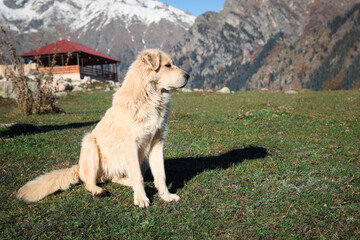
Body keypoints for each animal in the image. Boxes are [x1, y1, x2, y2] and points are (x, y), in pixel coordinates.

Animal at [16, 49, 190, 208]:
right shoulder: (131, 146)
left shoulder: (157, 143)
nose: (188, 76)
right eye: (168, 65)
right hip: (90, 144)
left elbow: (161, 174)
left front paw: (166, 196)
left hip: (142, 159)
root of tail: (78, 167)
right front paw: (141, 198)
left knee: (114, 177)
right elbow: (138, 176)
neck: (150, 98)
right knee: (90, 182)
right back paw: (98, 190)